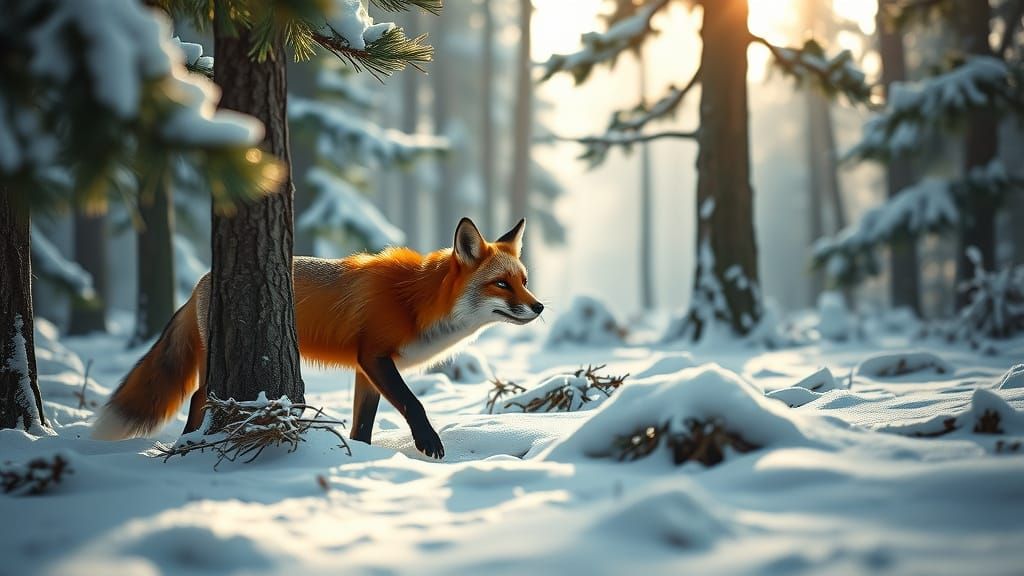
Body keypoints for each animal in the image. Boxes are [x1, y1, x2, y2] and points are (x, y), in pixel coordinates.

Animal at [92, 218, 543, 459]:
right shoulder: (376, 356)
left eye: (523, 281)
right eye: (501, 284)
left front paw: (362, 457)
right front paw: (428, 442)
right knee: (197, 401)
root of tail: (202, 280)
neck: (416, 303)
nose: (539, 307)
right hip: (210, 370)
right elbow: (413, 402)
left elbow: (363, 425)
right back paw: (188, 442)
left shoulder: (367, 367)